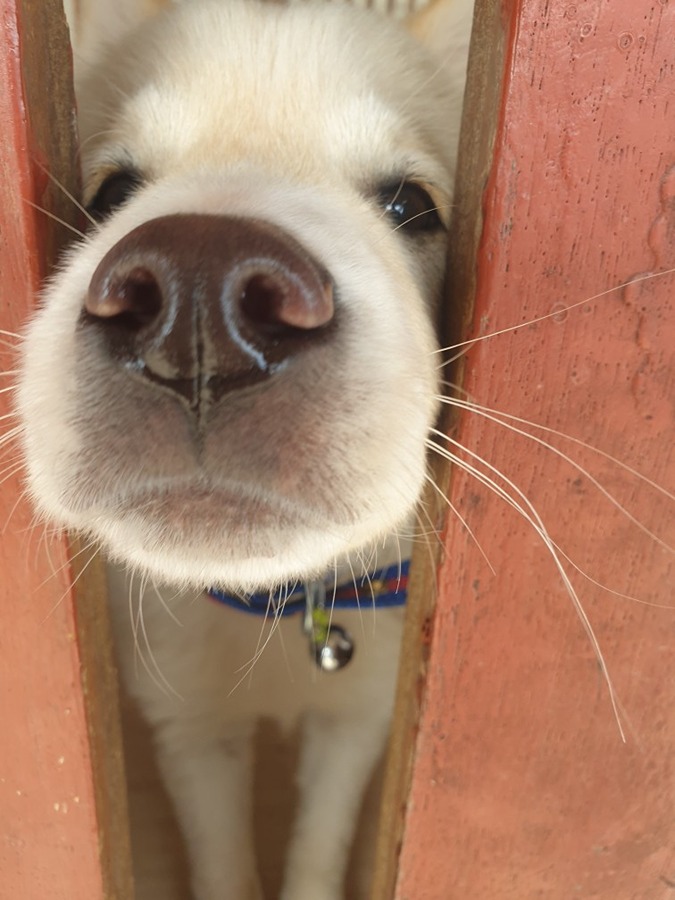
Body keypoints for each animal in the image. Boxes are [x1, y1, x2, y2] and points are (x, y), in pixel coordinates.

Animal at [14, 0, 470, 896]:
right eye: (111, 191)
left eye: (410, 207)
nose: (199, 311)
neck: (277, 607)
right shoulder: (189, 724)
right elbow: (223, 858)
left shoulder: (357, 718)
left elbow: (318, 847)